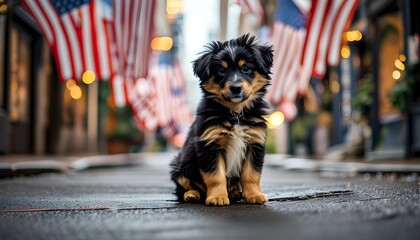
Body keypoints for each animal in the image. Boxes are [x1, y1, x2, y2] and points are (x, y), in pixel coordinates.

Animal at [169, 33, 274, 206]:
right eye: (221, 71)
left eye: (246, 68)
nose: (235, 88)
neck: (236, 113)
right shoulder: (209, 144)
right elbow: (215, 175)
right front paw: (217, 197)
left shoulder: (255, 142)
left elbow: (252, 174)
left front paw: (254, 195)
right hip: (180, 165)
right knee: (183, 187)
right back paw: (192, 195)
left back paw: (234, 193)